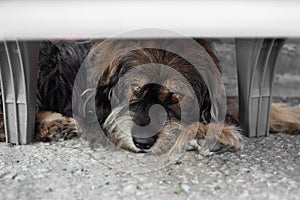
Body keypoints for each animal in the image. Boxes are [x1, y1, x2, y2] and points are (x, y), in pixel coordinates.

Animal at [32, 39, 298, 155]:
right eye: (135, 89)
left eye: (175, 96)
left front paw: (293, 115)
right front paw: (215, 134)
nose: (142, 143)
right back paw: (53, 123)